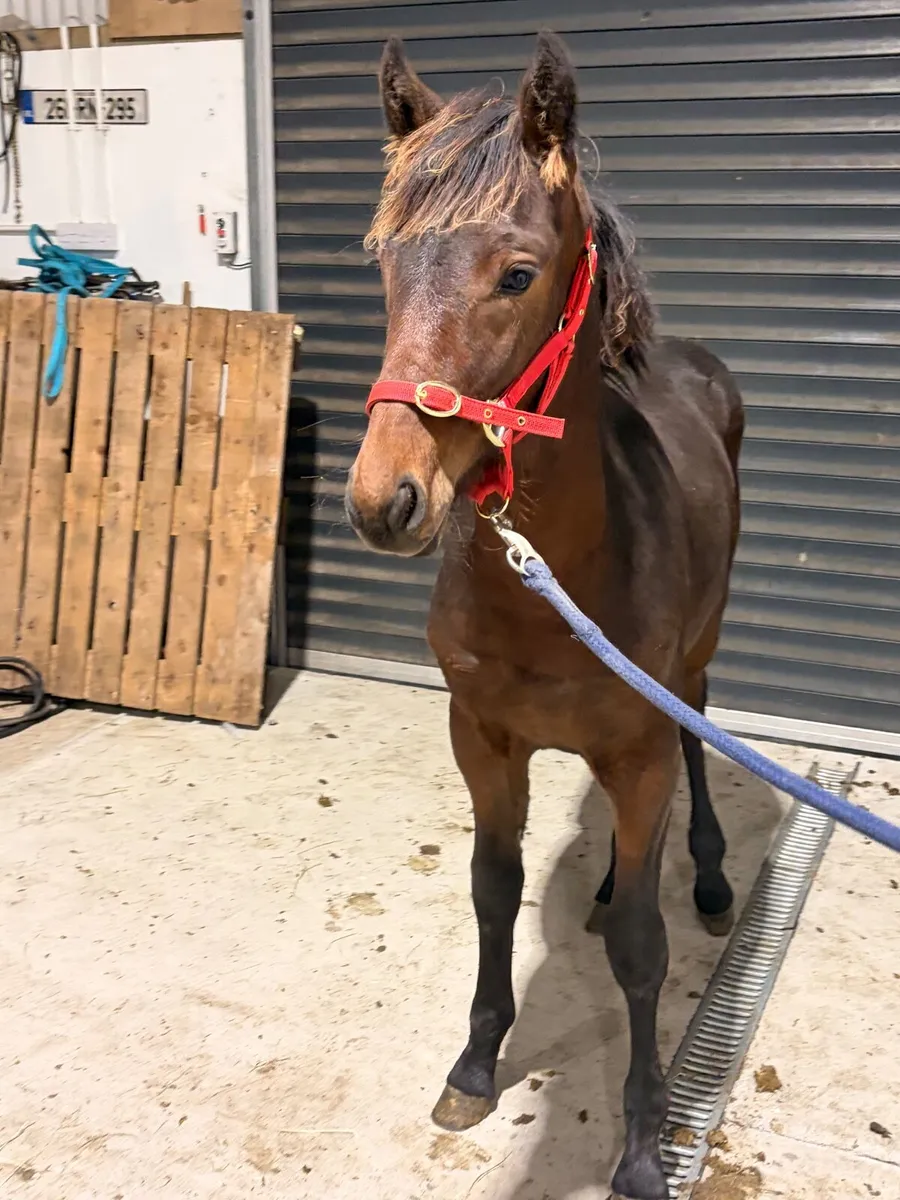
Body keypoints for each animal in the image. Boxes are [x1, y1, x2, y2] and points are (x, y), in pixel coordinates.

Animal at [345, 31, 744, 1200]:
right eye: (385, 264)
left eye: (517, 275)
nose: (384, 498)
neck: (552, 583)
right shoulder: (481, 738)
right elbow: (494, 889)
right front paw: (476, 1064)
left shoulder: (643, 745)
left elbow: (646, 952)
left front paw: (644, 1146)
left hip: (691, 669)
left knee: (698, 747)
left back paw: (707, 873)